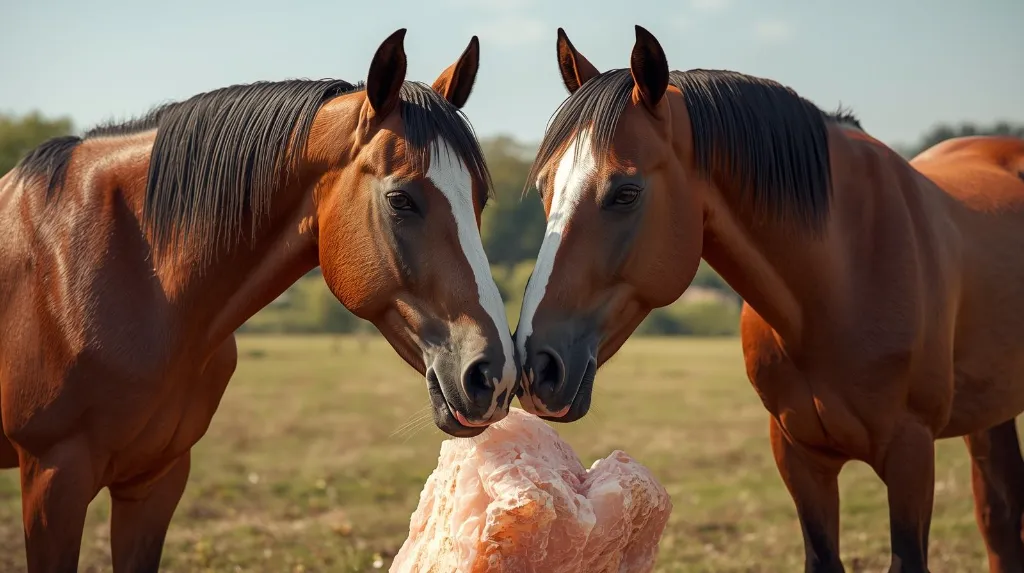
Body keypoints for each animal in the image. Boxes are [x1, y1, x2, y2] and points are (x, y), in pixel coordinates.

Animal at [513, 25, 1024, 573]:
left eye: (625, 192)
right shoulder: (798, 456)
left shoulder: (911, 455)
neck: (840, 280)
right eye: (544, 189)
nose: (537, 367)